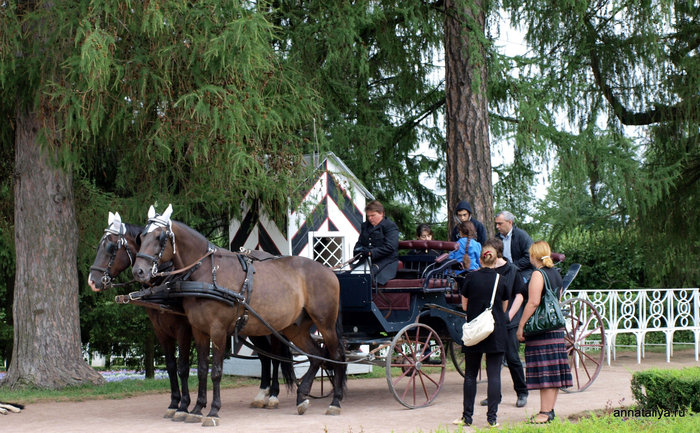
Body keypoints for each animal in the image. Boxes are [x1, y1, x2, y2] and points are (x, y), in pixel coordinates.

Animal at [131, 205, 348, 426]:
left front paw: (213, 411)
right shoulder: (199, 331)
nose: (138, 271)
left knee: (336, 355)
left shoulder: (217, 330)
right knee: (316, 356)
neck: (208, 273)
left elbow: (216, 372)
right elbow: (202, 369)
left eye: (159, 237)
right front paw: (197, 409)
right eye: (142, 236)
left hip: (325, 323)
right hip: (294, 328)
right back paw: (302, 397)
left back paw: (335, 402)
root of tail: (329, 271)